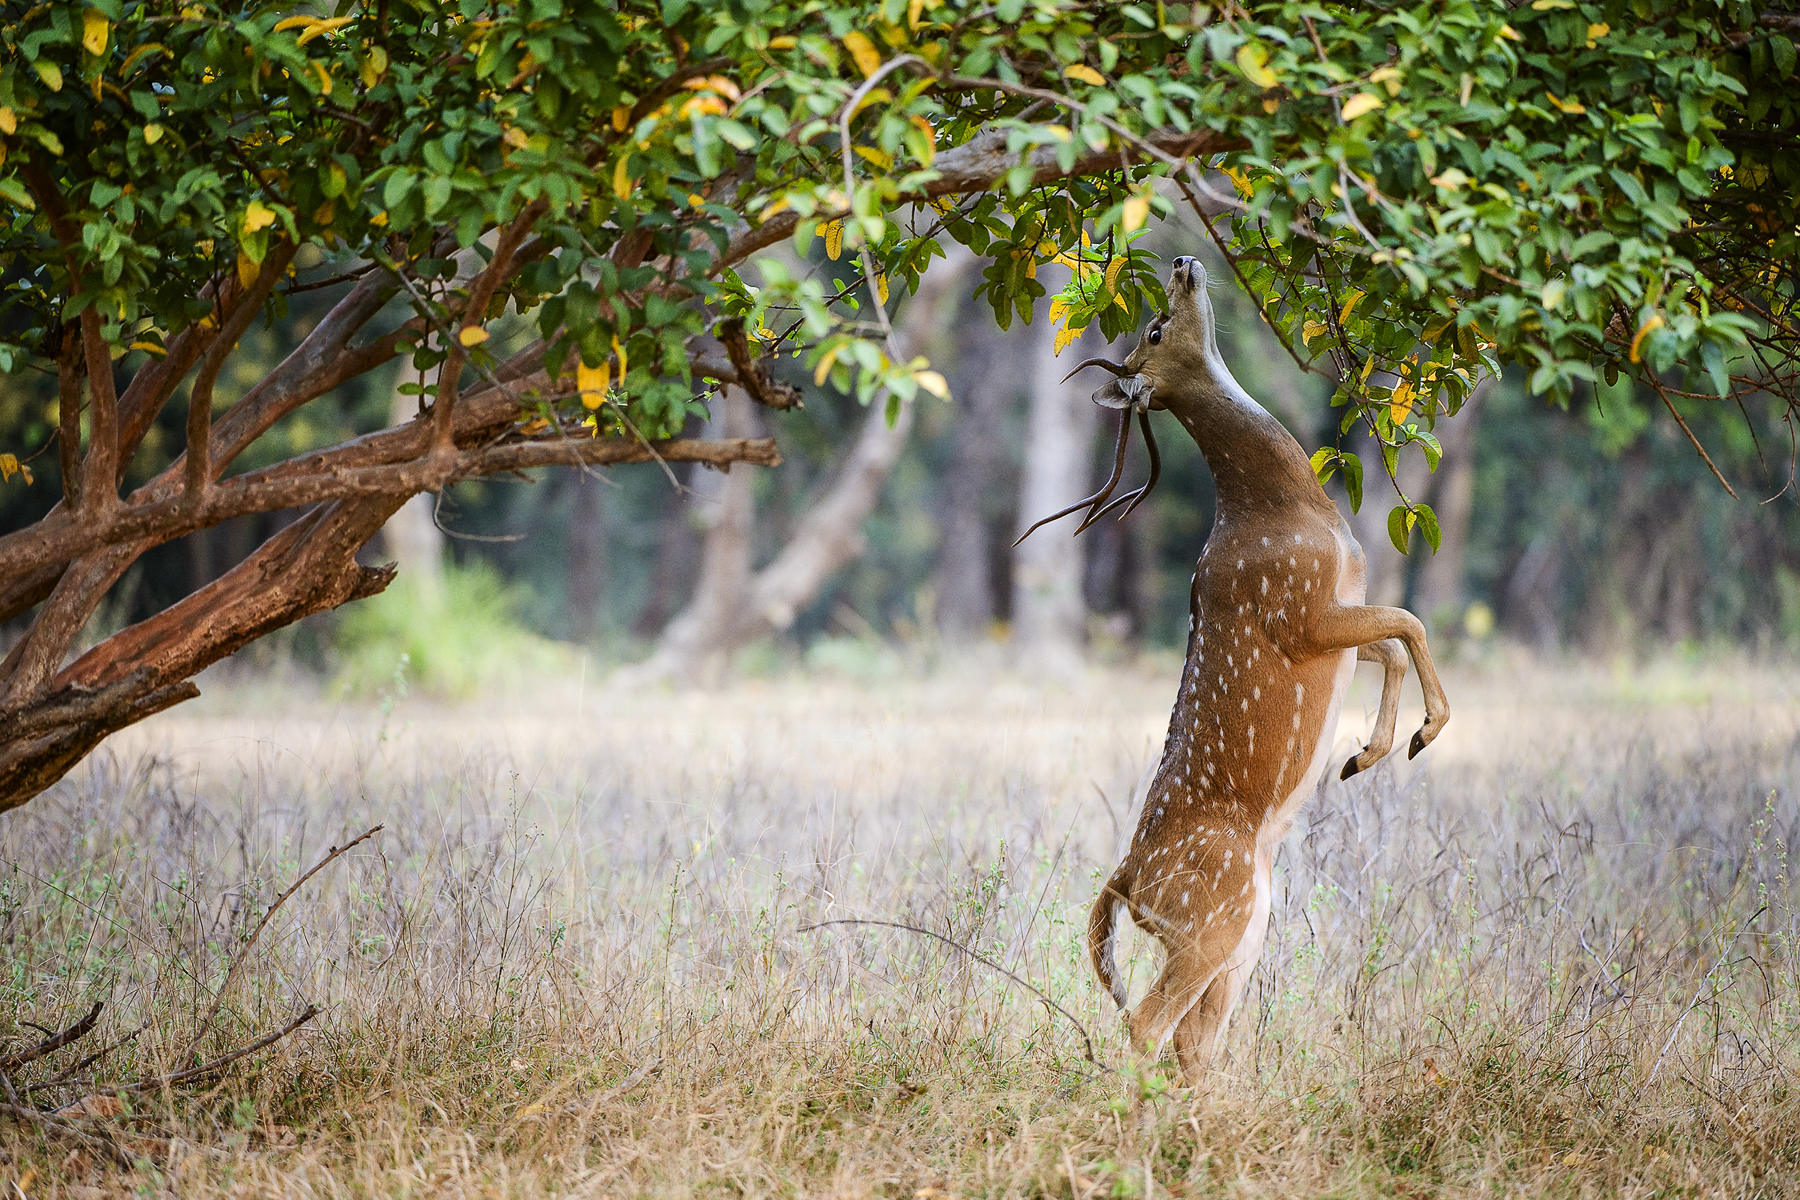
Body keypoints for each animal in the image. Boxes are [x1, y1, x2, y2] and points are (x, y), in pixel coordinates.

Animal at [1037, 255, 1449, 1084]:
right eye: (1155, 327)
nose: (1182, 262)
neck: (1289, 511)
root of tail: (1126, 880)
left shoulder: (1336, 615)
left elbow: (1393, 639)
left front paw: (1366, 752)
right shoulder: (1300, 610)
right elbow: (1410, 621)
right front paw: (1423, 733)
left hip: (1243, 933)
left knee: (1191, 1042)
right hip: (1209, 922)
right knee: (1145, 1025)